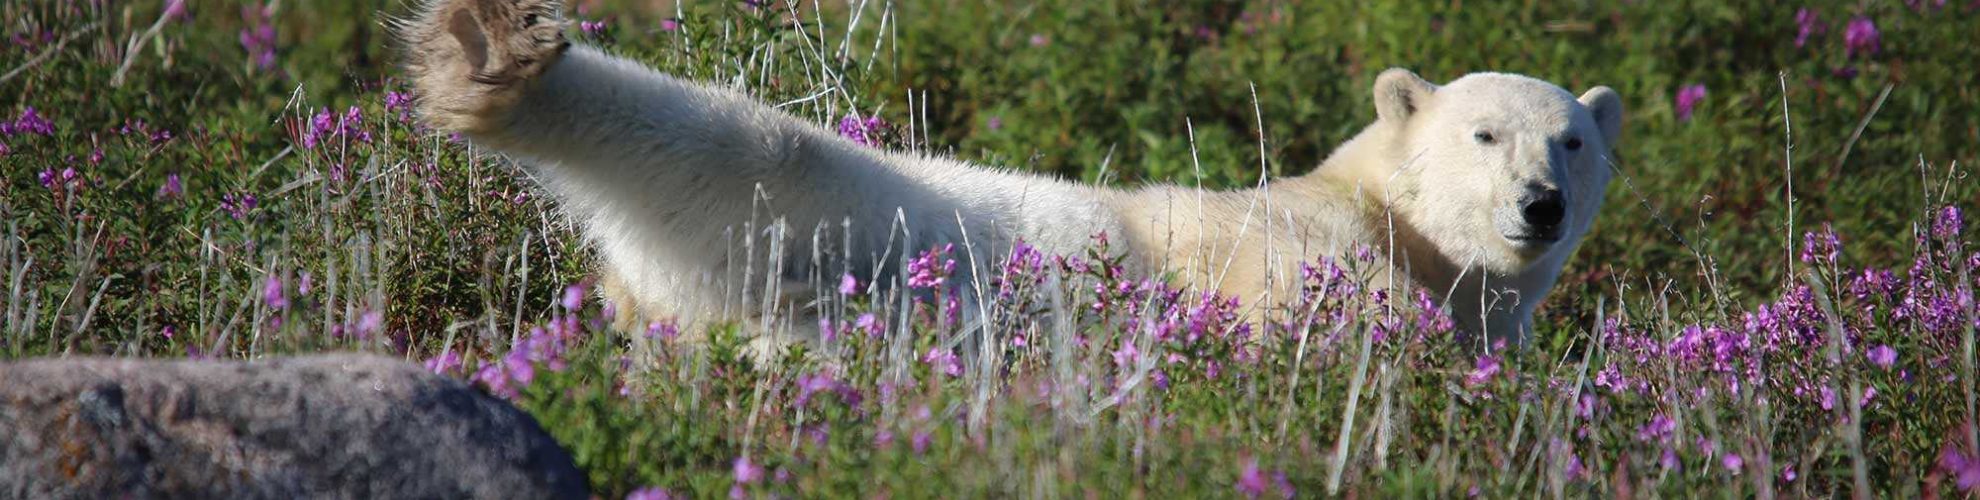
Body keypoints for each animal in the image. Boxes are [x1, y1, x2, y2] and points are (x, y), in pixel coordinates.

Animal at [398, 0, 1623, 350]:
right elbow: (1323, 301)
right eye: (1485, 135)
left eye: (1571, 139)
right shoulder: (1285, 236)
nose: (1541, 204)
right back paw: (490, 58)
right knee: (751, 141)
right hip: (849, 199)